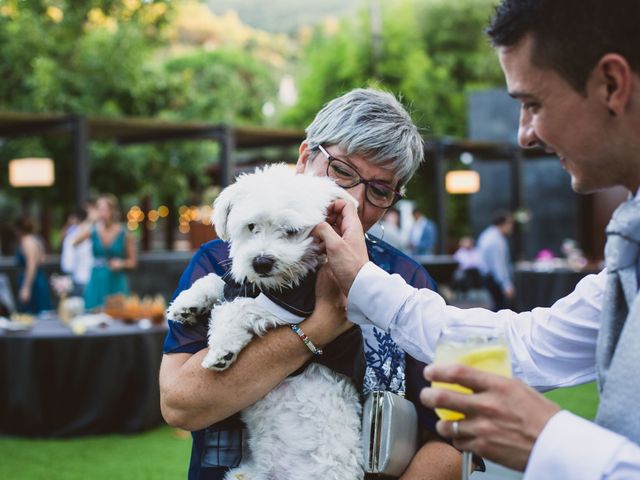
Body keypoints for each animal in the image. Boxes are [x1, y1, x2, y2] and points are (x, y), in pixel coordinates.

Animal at [166, 164, 364, 480]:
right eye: (250, 227)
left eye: (292, 231)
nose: (261, 262)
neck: (277, 284)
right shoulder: (241, 284)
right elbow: (217, 282)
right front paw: (188, 304)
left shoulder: (292, 306)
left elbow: (236, 309)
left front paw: (222, 350)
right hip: (241, 475)